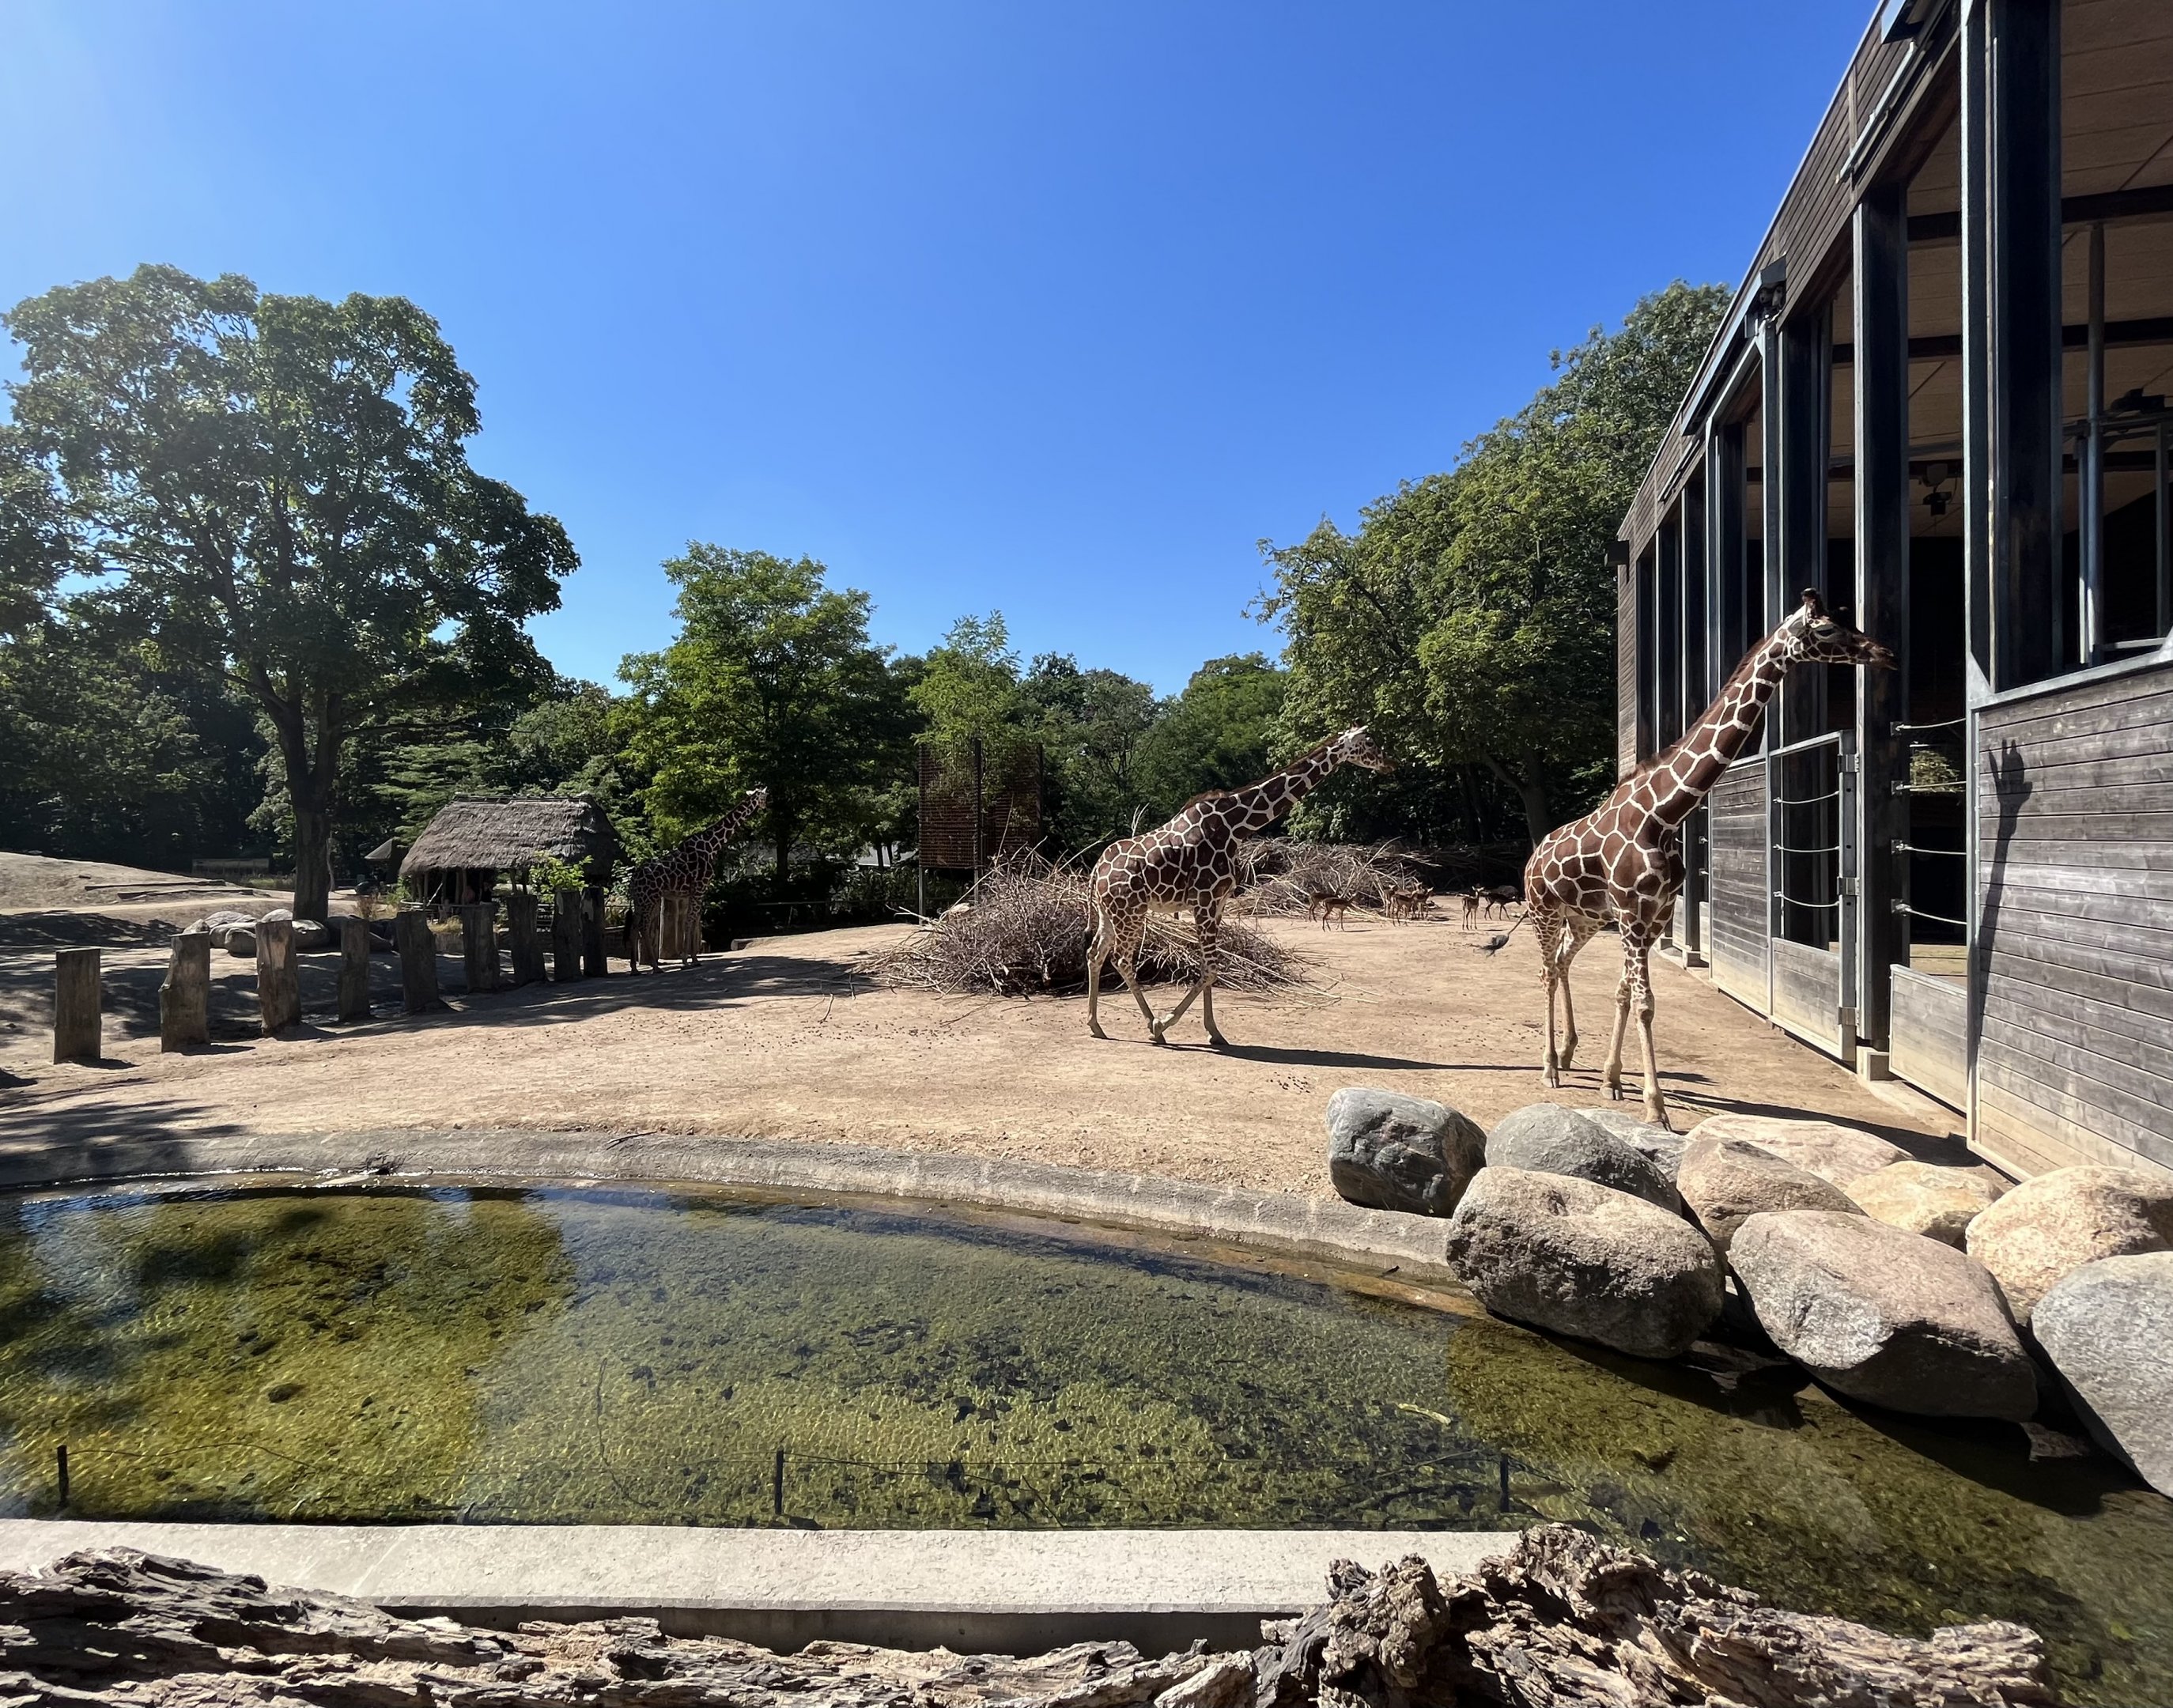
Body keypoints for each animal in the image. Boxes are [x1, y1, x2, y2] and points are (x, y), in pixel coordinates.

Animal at [622, 787, 768, 973]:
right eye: (764, 797)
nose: (765, 807)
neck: (712, 846)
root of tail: (634, 879)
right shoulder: (700, 889)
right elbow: (689, 922)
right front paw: (686, 961)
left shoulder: (695, 892)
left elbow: (692, 922)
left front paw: (694, 960)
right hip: (650, 899)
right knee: (643, 927)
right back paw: (655, 967)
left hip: (640, 900)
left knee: (634, 927)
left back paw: (634, 969)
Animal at [1085, 727, 1391, 1045]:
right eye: (1370, 742)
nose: (1390, 764)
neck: (1236, 825)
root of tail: (1096, 872)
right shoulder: (1205, 900)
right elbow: (1211, 968)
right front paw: (1166, 1022)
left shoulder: (1217, 903)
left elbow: (1207, 966)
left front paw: (1214, 1031)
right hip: (1131, 912)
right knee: (1121, 960)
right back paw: (1152, 1025)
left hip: (1110, 913)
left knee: (1095, 954)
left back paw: (1096, 1025)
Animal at [1524, 590, 1893, 1128]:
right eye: (1826, 630)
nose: (1885, 654)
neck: (1664, 812)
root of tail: (1531, 859)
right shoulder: (1633, 915)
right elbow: (1645, 1002)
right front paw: (1656, 1108)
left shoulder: (1655, 915)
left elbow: (1624, 993)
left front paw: (1613, 1081)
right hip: (1544, 912)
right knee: (1548, 972)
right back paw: (1550, 1067)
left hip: (1587, 918)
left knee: (1565, 963)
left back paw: (1571, 1054)